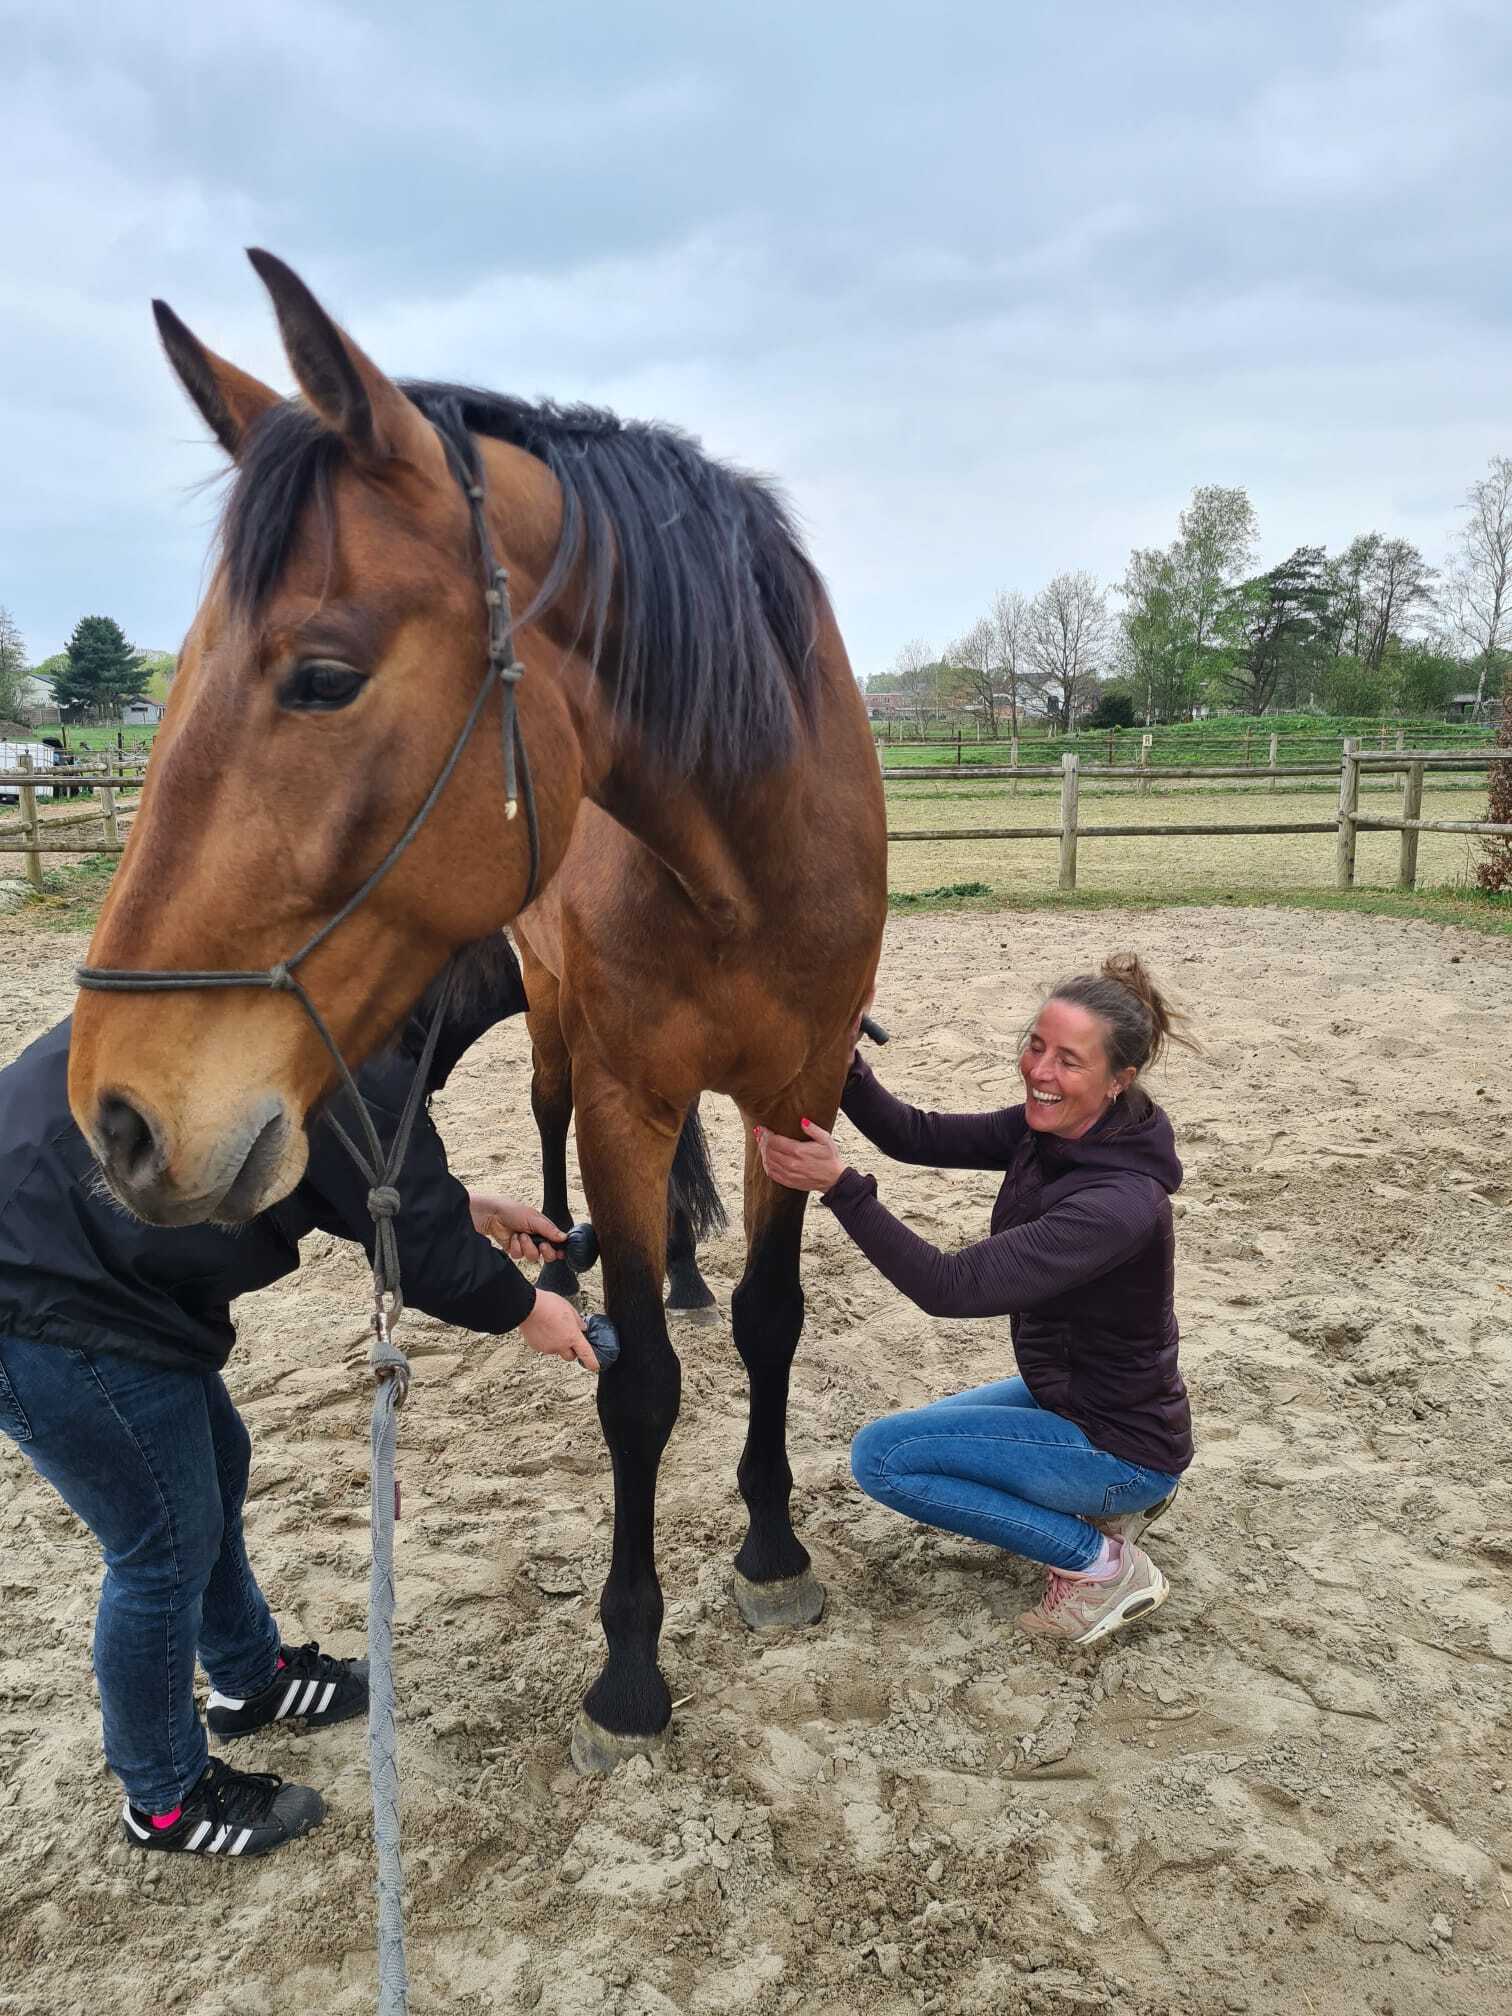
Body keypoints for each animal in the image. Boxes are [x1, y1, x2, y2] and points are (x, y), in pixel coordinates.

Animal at [67, 250, 887, 1772]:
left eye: (322, 676)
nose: (122, 1118)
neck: (745, 860)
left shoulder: (796, 1093)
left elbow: (771, 1319)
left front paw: (773, 1548)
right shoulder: (627, 1094)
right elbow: (635, 1385)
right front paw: (630, 1670)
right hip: (561, 1032)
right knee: (553, 1132)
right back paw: (567, 1261)